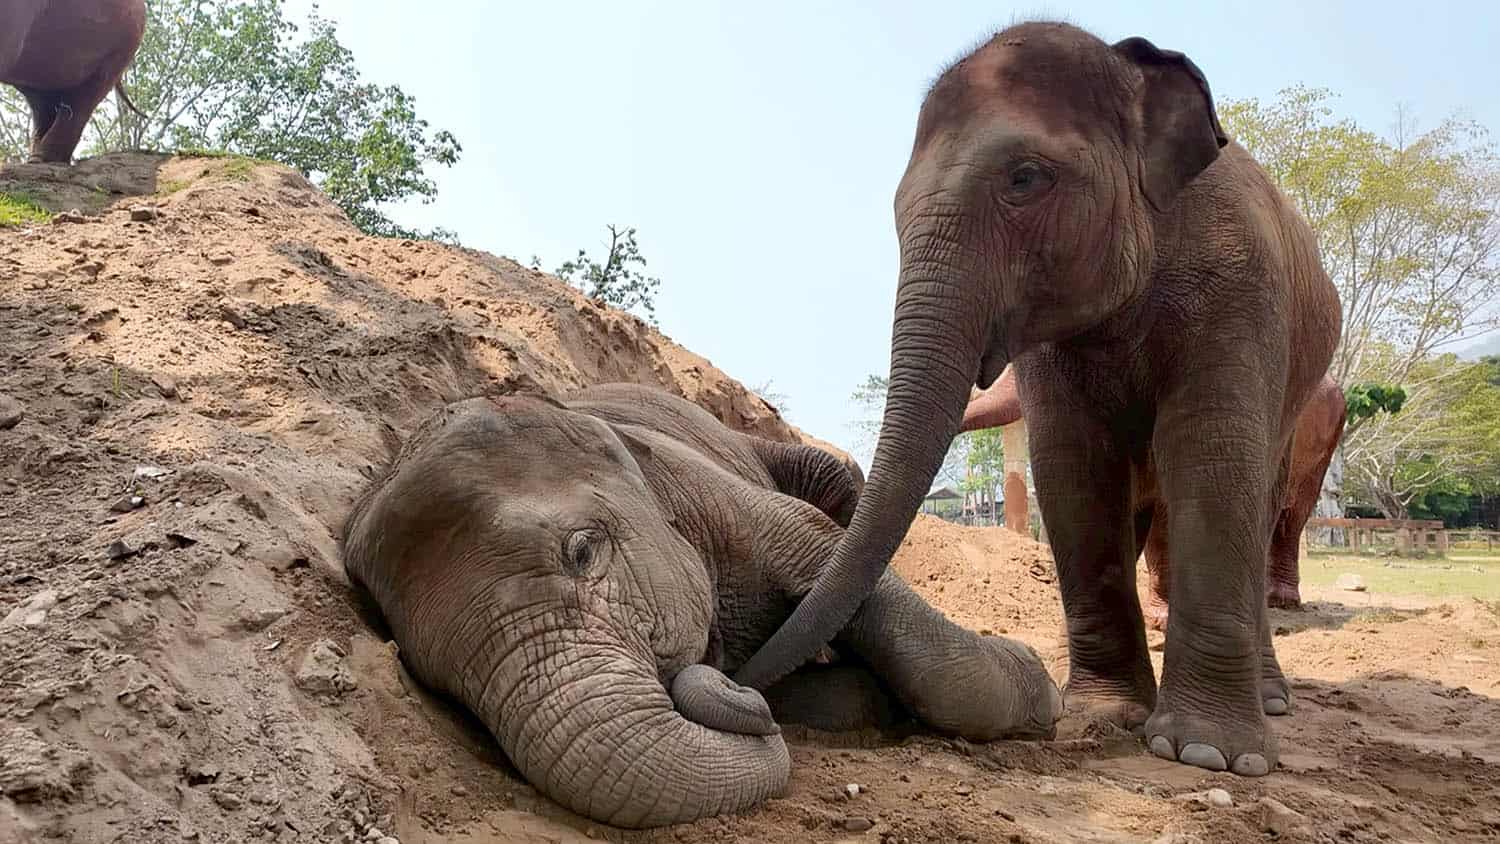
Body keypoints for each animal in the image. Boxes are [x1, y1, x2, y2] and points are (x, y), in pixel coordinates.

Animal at [340, 382, 1062, 829]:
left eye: (582, 552)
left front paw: (1039, 690)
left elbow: (818, 547)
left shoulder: (707, 489)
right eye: (442, 686)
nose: (731, 682)